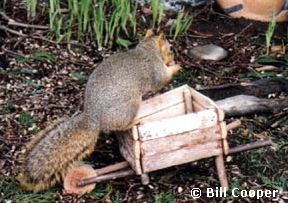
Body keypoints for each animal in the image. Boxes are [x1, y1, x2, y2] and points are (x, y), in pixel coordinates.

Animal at [17, 30, 180, 192]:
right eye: (171, 49)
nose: (173, 58)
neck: (148, 49)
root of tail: (94, 118)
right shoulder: (156, 70)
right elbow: (162, 80)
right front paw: (176, 67)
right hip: (129, 105)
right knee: (119, 126)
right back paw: (134, 121)